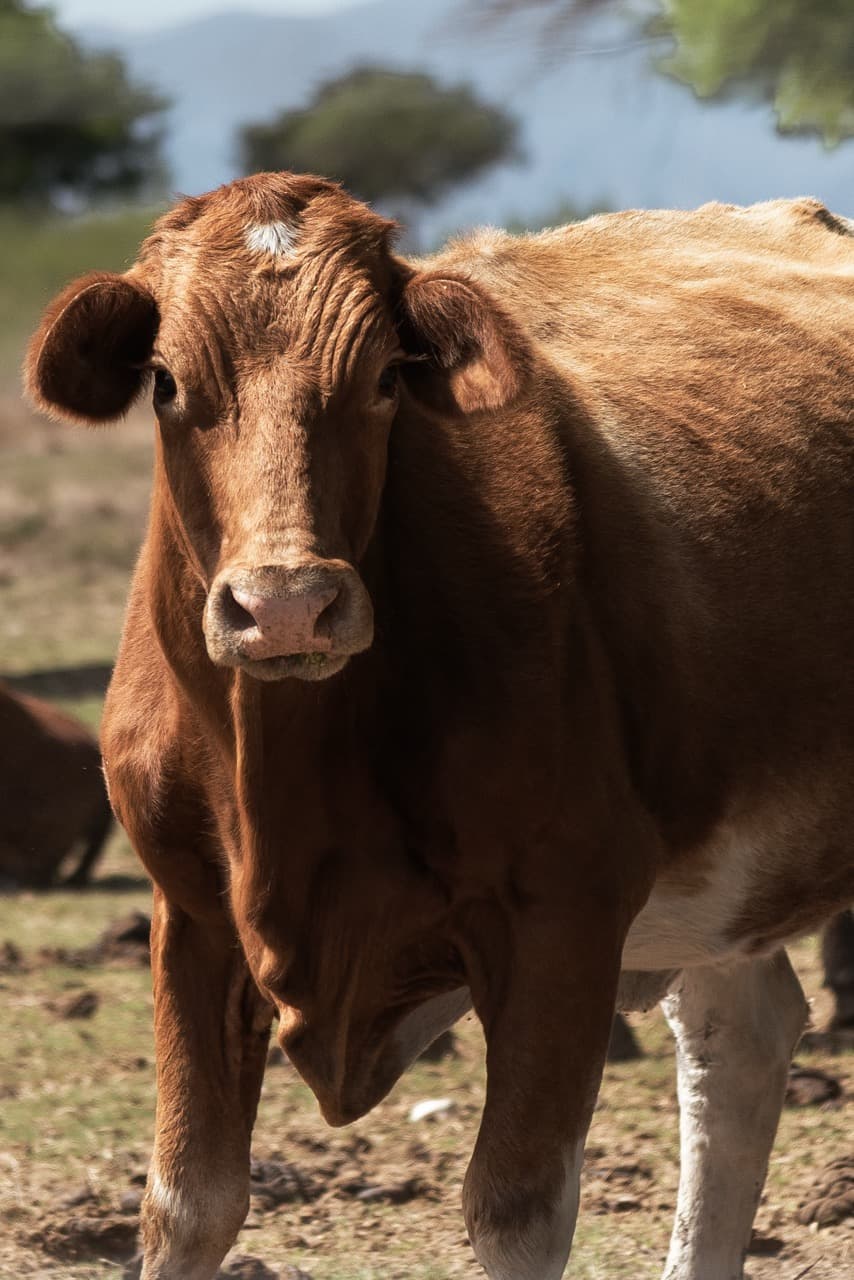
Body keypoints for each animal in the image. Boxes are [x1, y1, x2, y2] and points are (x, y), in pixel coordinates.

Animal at [25, 172, 854, 1280]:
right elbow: (186, 1201)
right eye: (163, 381)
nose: (286, 605)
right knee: (739, 1039)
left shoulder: (562, 917)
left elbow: (514, 1207)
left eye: (384, 377)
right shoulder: (189, 915)